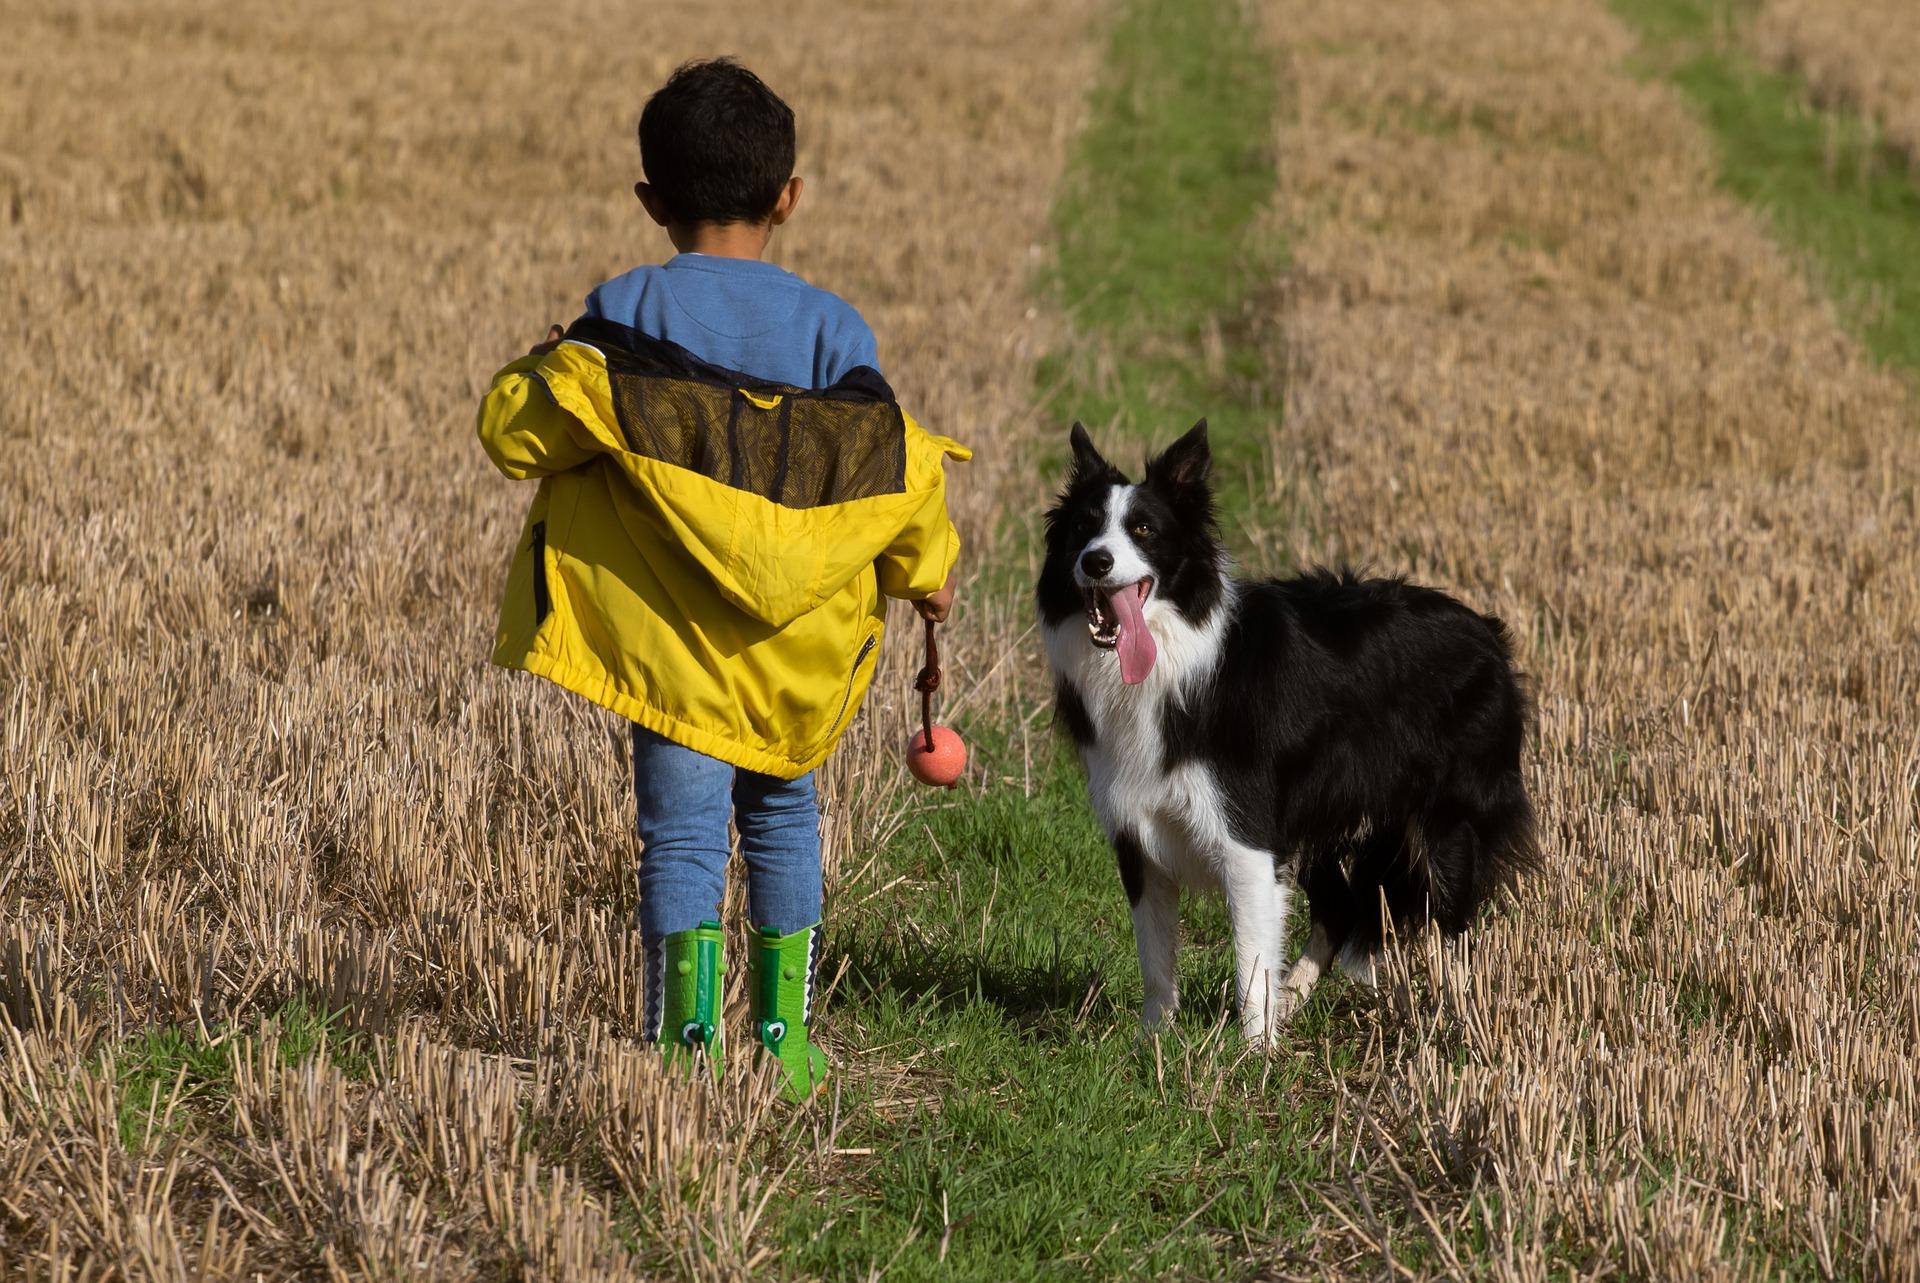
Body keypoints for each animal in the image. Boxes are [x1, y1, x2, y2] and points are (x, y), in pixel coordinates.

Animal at [1036, 420, 1528, 1044]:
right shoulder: (1137, 834)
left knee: (1454, 922)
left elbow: (1249, 955)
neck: (1176, 655)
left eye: (1143, 529)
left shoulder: (1247, 835)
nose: (1096, 562)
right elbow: (1155, 957)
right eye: (1083, 527)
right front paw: (1156, 1041)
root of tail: (1487, 632)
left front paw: (1253, 1053)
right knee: (1340, 909)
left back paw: (1463, 1023)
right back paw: (1294, 998)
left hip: (1449, 820)